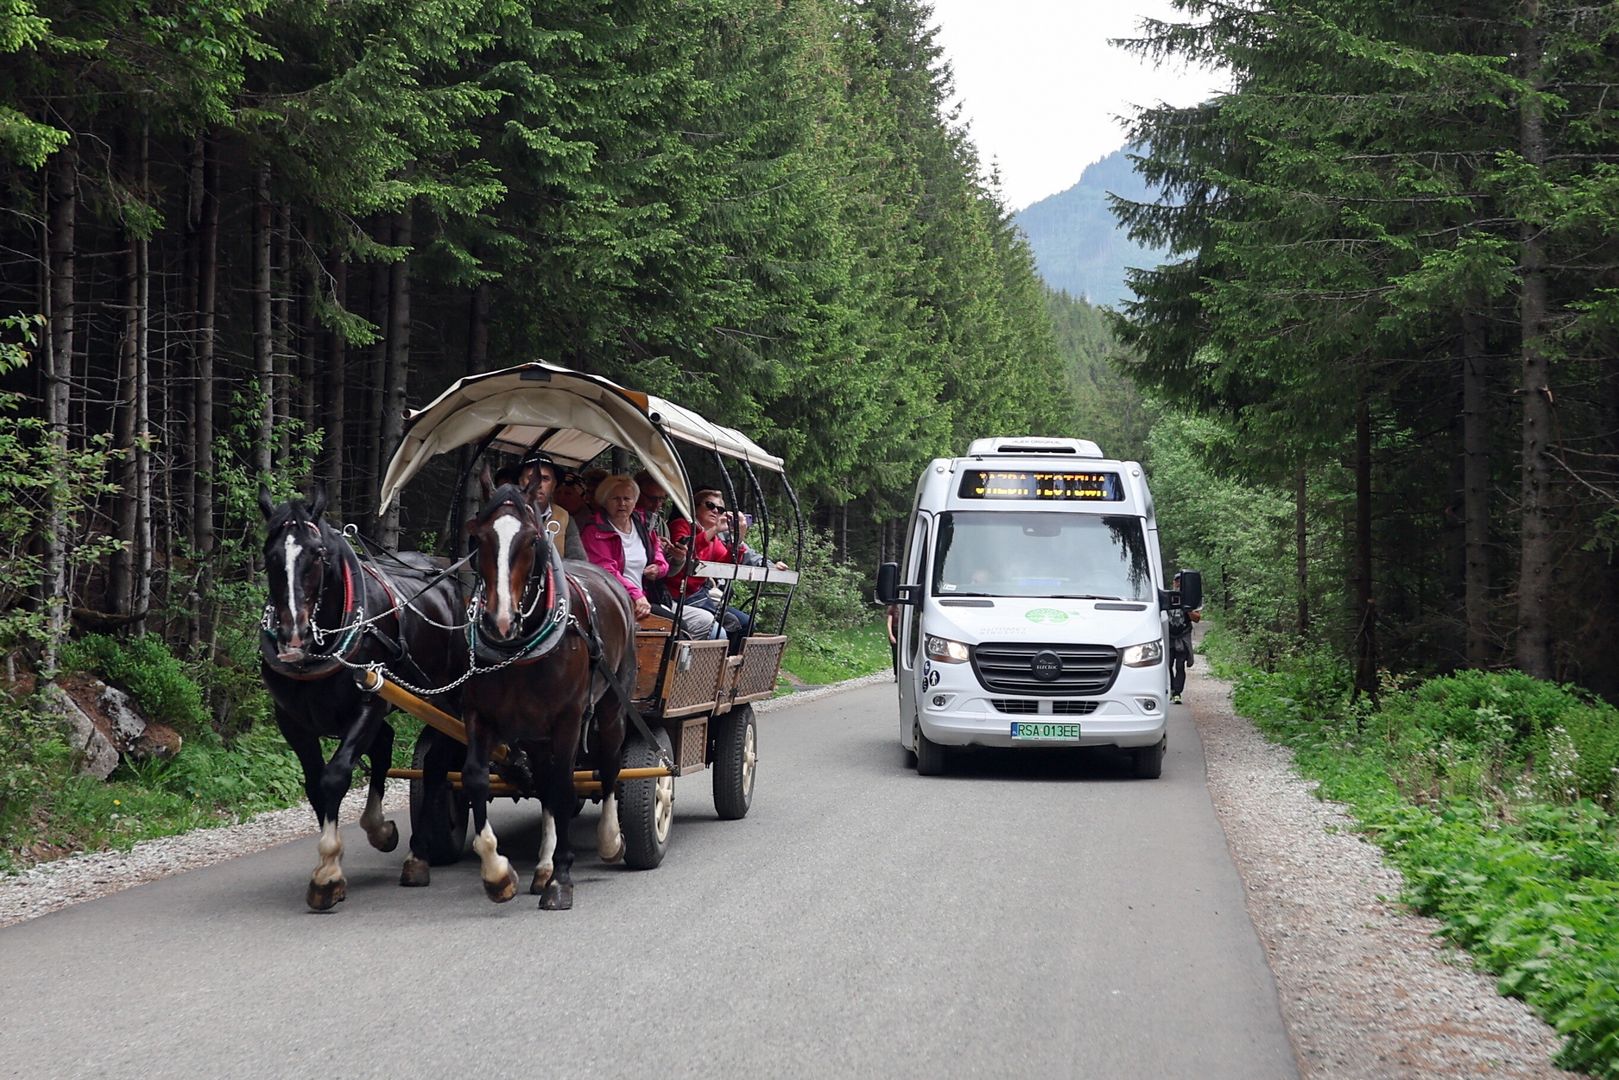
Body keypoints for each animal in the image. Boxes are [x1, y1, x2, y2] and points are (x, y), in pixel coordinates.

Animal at [459, 476, 634, 906]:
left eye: (532, 540)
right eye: (478, 537)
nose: (500, 620)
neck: (518, 650)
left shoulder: (568, 719)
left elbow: (564, 786)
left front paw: (562, 878)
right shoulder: (479, 716)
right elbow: (476, 777)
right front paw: (498, 874)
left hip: (611, 707)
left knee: (609, 764)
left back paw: (609, 841)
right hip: (535, 732)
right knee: (544, 782)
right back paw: (542, 866)